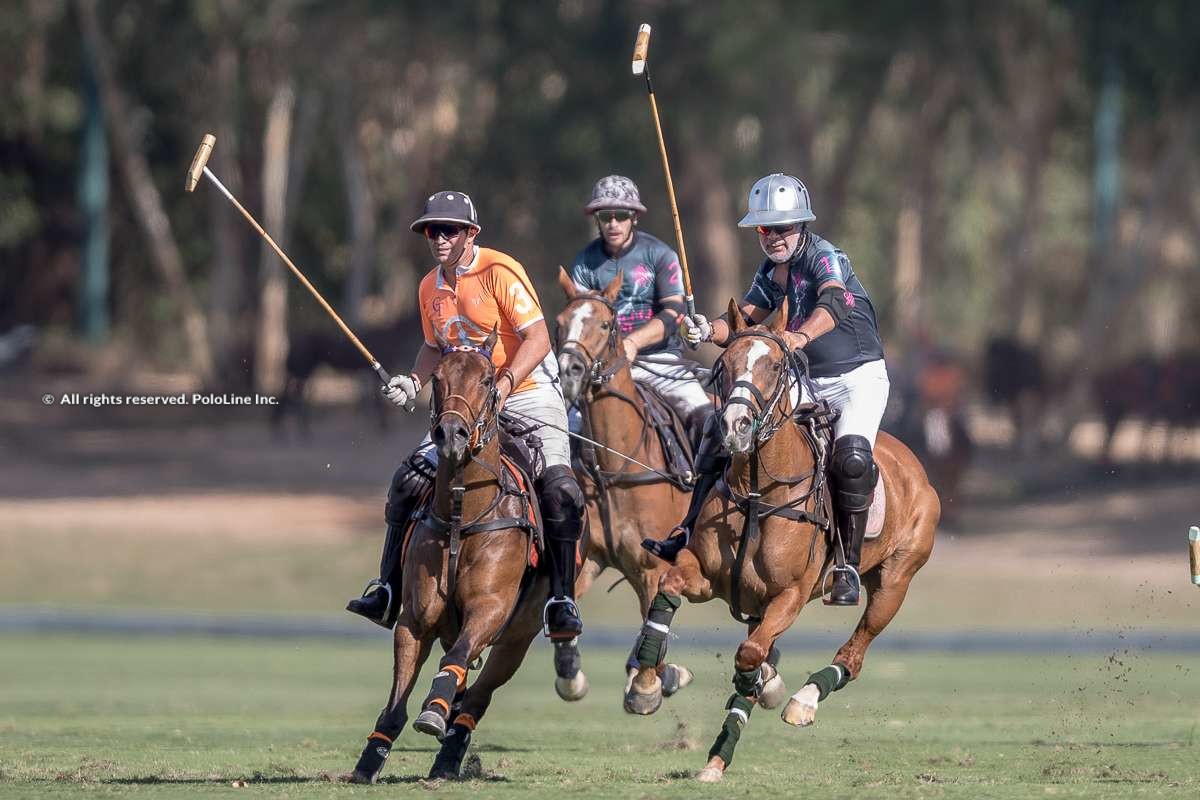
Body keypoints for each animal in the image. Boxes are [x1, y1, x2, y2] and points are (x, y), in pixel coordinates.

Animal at [350, 326, 559, 782]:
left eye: (487, 379)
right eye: (438, 378)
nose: (451, 435)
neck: (463, 513)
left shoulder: (490, 608)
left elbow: (458, 659)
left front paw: (434, 710)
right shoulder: (415, 618)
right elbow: (396, 701)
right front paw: (369, 761)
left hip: (518, 638)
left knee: (478, 695)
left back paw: (449, 755)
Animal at [556, 268, 700, 700]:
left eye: (606, 324)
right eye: (559, 323)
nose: (569, 371)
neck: (616, 466)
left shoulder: (654, 566)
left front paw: (650, 685)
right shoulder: (590, 559)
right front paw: (572, 675)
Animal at [624, 299, 940, 782]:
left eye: (774, 365)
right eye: (724, 366)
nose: (735, 426)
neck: (759, 492)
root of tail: (915, 467)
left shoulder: (790, 595)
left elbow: (751, 653)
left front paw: (760, 685)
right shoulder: (708, 577)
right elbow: (669, 589)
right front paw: (645, 682)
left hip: (895, 580)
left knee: (855, 651)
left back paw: (802, 701)